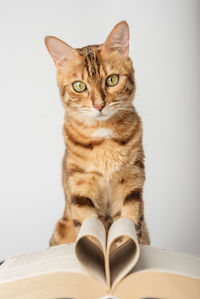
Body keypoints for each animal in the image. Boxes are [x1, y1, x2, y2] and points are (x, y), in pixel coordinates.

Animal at [44, 20, 149, 246]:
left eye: (112, 80)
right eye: (79, 86)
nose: (99, 105)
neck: (104, 139)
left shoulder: (132, 182)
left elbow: (130, 224)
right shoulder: (80, 187)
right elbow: (89, 230)